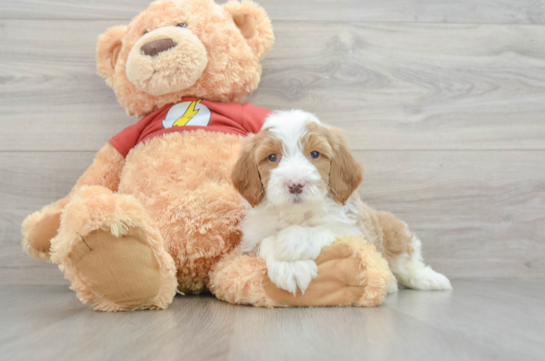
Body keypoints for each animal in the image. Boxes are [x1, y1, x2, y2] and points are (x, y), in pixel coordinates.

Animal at [231, 110, 450, 296]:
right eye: (272, 157)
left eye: (315, 154)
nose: (295, 184)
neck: (298, 214)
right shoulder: (248, 243)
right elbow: (266, 241)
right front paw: (290, 267)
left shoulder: (353, 232)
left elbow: (323, 230)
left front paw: (292, 240)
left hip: (392, 231)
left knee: (408, 261)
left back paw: (431, 280)